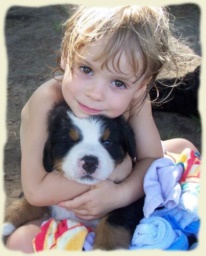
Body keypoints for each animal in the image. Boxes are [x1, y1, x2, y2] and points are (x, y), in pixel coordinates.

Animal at [3, 100, 145, 250]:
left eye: (108, 142)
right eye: (69, 141)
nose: (89, 162)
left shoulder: (125, 200)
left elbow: (112, 227)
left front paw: (105, 248)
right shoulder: (43, 193)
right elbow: (27, 201)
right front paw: (7, 220)